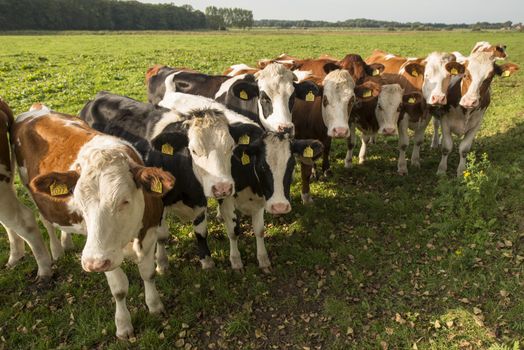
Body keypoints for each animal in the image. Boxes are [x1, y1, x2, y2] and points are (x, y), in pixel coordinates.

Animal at [12, 104, 175, 340]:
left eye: (124, 200)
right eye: (80, 201)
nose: (92, 264)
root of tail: (37, 109)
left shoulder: (150, 232)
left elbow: (148, 273)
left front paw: (154, 306)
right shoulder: (101, 252)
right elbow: (119, 289)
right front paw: (123, 325)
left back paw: (67, 242)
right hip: (31, 189)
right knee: (46, 221)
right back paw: (56, 250)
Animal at [80, 91, 264, 270]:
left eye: (230, 147)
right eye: (194, 150)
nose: (222, 188)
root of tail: (98, 96)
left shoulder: (203, 200)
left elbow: (203, 232)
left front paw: (209, 261)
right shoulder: (159, 200)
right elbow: (162, 235)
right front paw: (161, 263)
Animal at [219, 133, 322, 272]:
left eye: (291, 165)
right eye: (262, 166)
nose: (280, 207)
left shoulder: (260, 202)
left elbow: (259, 230)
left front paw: (263, 259)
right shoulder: (226, 200)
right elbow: (233, 232)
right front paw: (236, 261)